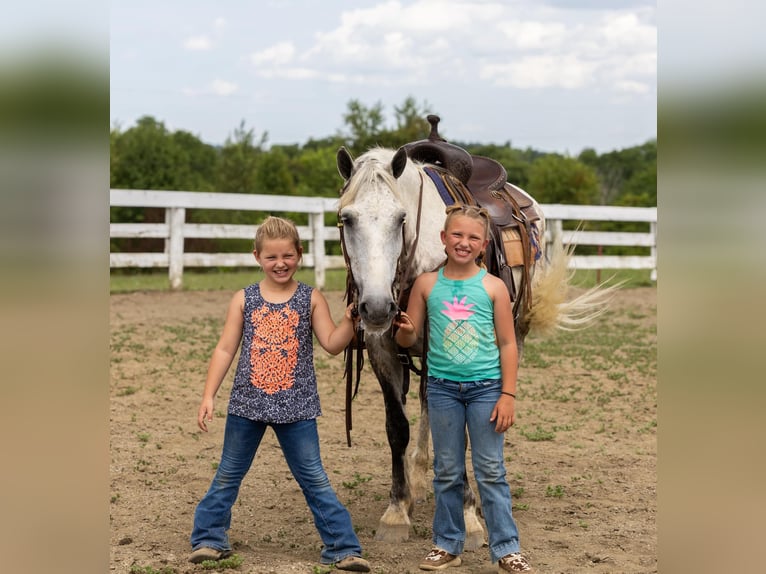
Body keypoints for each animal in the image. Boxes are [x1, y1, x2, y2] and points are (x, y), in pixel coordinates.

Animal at [335, 132, 611, 546]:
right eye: (346, 218)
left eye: (400, 219)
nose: (378, 307)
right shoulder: (383, 349)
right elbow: (398, 428)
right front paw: (398, 509)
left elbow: (463, 431)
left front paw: (468, 516)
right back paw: (422, 479)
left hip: (514, 335)